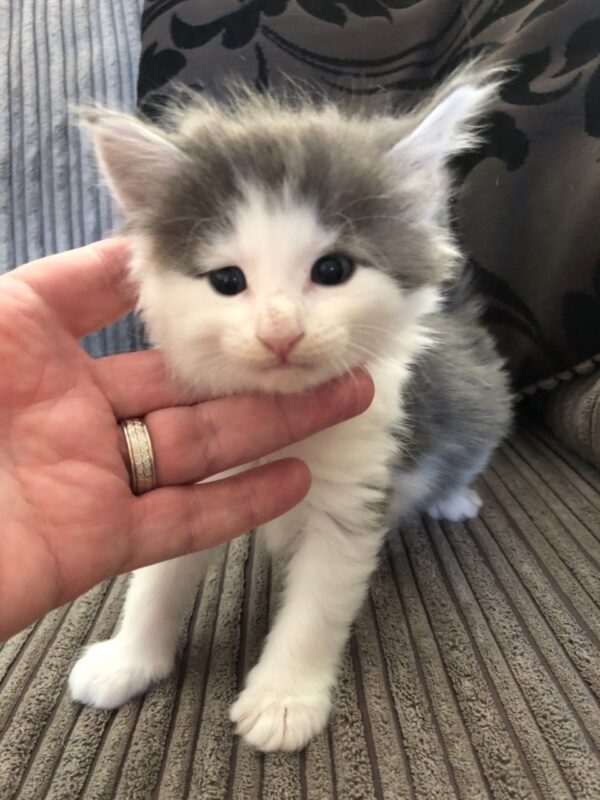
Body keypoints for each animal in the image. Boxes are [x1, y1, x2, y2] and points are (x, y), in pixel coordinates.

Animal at [69, 65, 510, 752]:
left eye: (332, 269)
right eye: (227, 281)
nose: (281, 333)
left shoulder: (355, 493)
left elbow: (316, 608)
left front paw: (283, 700)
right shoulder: (200, 480)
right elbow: (156, 580)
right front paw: (128, 659)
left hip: (478, 405)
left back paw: (455, 498)